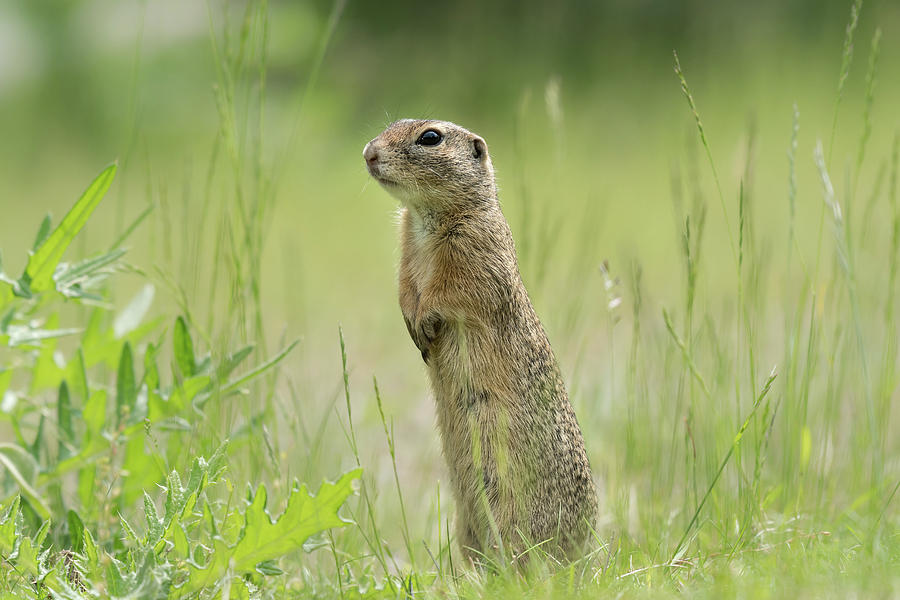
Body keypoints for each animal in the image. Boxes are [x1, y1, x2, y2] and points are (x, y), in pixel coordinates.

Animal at [358, 118, 596, 564]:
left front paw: (424, 321)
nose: (369, 153)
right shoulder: (405, 250)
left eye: (430, 137)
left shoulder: (474, 249)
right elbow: (405, 288)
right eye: (392, 124)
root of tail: (584, 550)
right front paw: (412, 324)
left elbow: (450, 293)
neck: (425, 218)